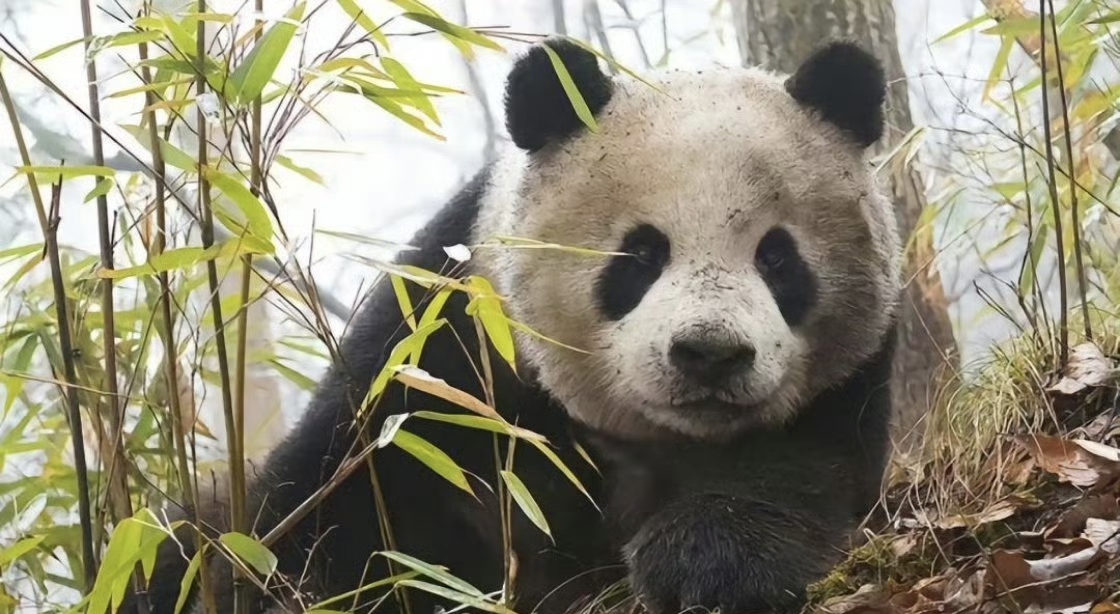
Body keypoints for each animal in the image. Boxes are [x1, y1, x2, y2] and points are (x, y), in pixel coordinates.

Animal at [127, 37, 900, 614]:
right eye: (640, 254)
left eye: (777, 257)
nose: (709, 354)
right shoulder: (442, 335)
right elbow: (329, 498)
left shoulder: (850, 372)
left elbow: (798, 467)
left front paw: (705, 564)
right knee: (180, 534)